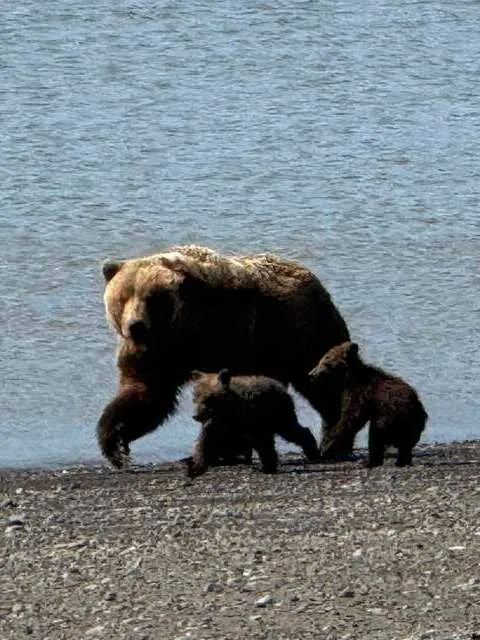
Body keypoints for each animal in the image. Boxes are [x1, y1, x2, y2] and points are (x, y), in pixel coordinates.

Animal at [186, 369, 320, 476]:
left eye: (208, 398)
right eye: (195, 397)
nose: (195, 416)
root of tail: (280, 386)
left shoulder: (251, 420)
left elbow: (263, 442)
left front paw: (267, 467)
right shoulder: (218, 424)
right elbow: (206, 442)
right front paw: (196, 467)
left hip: (280, 414)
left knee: (291, 431)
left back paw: (312, 451)